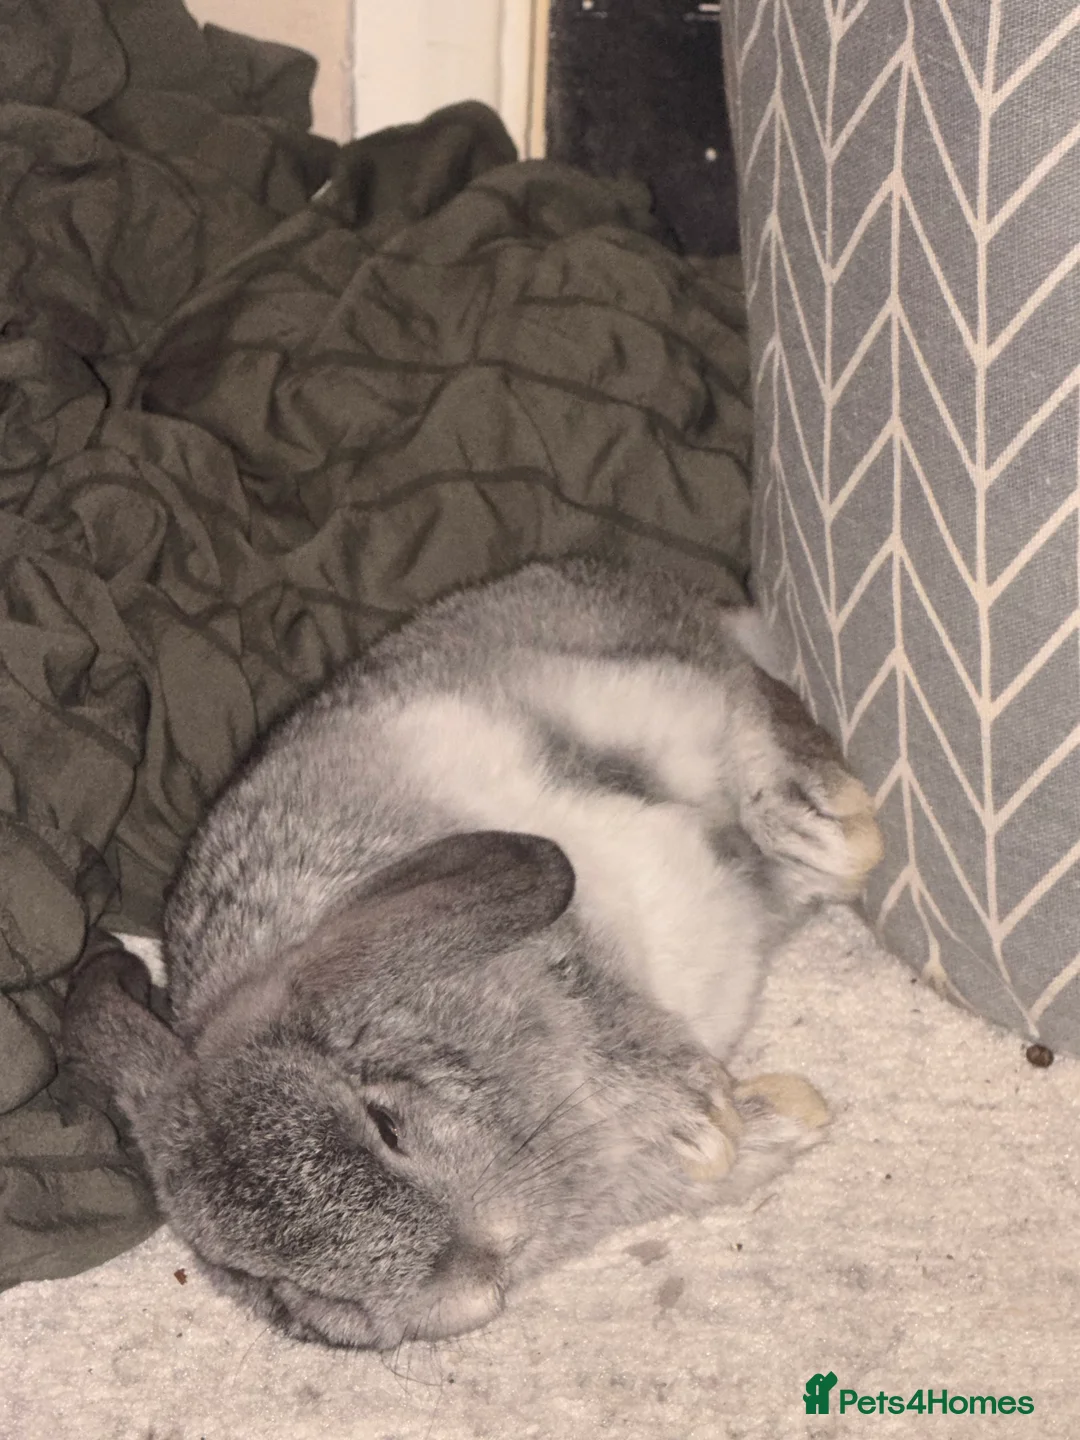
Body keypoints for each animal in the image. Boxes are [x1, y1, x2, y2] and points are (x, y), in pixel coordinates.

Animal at [63, 556, 883, 1351]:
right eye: (267, 1282)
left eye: (385, 1121)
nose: (475, 1271)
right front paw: (777, 1120)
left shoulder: (559, 959)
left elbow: (612, 1027)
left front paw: (702, 1122)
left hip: (626, 682)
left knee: (747, 707)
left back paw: (834, 831)